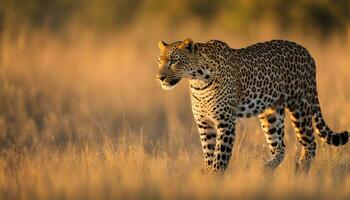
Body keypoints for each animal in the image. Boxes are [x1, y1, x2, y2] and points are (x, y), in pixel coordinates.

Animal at [157, 38, 350, 174]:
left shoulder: (225, 123)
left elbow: (220, 155)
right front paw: (206, 172)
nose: (159, 77)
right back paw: (266, 167)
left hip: (300, 106)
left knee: (310, 143)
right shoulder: (205, 124)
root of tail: (307, 52)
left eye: (174, 61)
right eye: (159, 61)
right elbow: (209, 152)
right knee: (280, 146)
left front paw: (213, 176)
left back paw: (301, 173)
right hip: (271, 113)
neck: (197, 82)